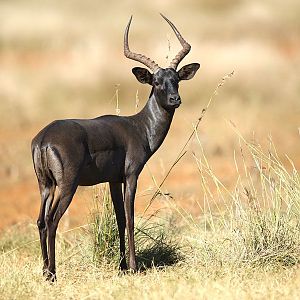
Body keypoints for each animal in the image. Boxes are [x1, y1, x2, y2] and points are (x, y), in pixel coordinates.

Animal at [31, 14, 199, 282]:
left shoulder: (112, 180)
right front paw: (133, 266)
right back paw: (53, 275)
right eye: (157, 82)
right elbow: (130, 219)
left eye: (176, 80)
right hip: (67, 186)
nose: (175, 100)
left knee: (39, 221)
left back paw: (46, 272)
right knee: (52, 220)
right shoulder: (131, 176)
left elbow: (119, 219)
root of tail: (44, 138)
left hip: (45, 185)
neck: (140, 128)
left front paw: (121, 267)